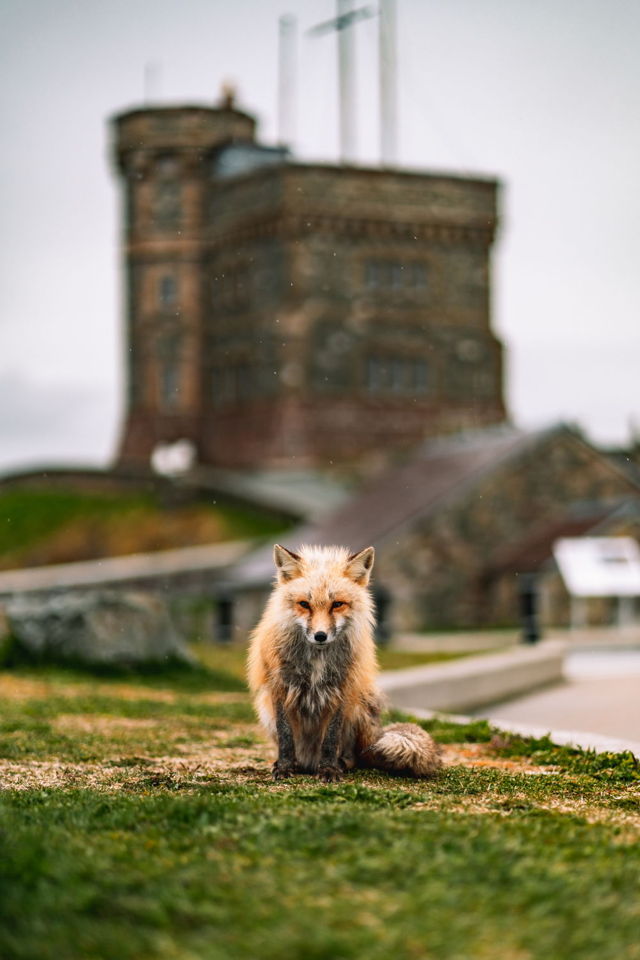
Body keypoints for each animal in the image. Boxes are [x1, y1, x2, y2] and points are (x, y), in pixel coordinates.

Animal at [247, 543, 441, 782]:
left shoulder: (342, 688)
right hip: (264, 707)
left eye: (337, 604)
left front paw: (329, 769)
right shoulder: (279, 685)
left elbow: (331, 738)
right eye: (304, 604)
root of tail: (309, 761)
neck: (317, 659)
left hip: (362, 704)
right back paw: (297, 764)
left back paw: (340, 763)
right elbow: (285, 736)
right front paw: (284, 767)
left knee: (355, 756)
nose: (320, 636)